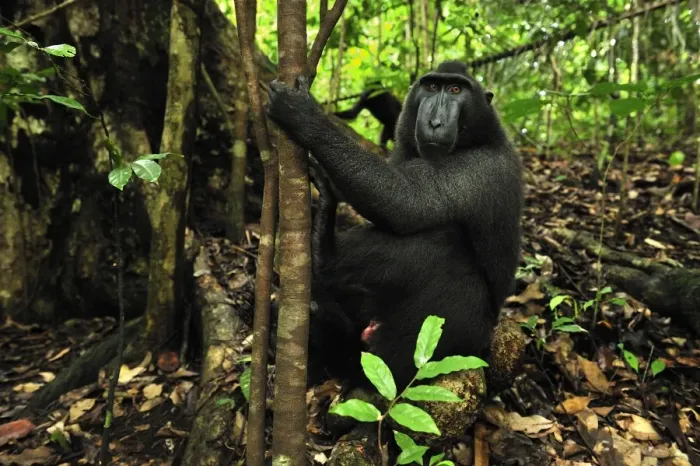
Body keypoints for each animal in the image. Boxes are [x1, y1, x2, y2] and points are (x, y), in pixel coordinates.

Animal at [267, 60, 524, 391]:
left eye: (456, 89)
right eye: (431, 87)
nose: (435, 121)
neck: (480, 138)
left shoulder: (479, 169)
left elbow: (404, 202)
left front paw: (303, 115)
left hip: (448, 338)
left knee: (441, 243)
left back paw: (325, 253)